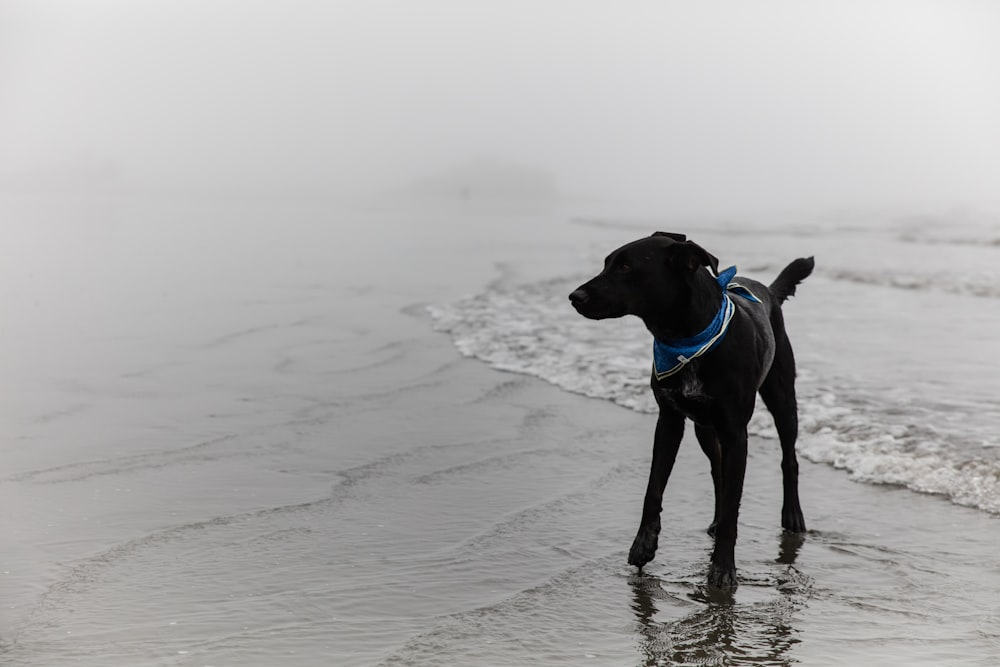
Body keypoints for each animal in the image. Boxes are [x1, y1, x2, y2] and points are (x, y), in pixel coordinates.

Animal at [572, 232, 812, 588]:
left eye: (626, 267)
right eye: (607, 264)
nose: (574, 296)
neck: (687, 338)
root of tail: (768, 290)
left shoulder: (736, 433)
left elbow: (733, 508)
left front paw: (723, 567)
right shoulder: (670, 421)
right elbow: (654, 488)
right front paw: (644, 544)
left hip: (782, 398)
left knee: (789, 459)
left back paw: (792, 515)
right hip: (704, 429)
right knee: (718, 472)